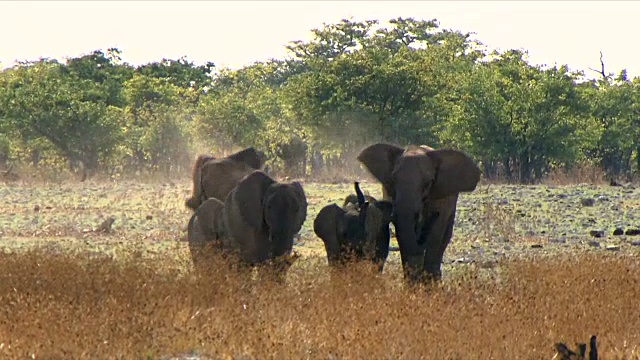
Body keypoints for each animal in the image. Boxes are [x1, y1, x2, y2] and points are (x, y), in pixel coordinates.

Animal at [356, 143, 480, 284]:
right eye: (393, 180)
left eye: (429, 182)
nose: (434, 215)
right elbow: (403, 236)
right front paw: (413, 283)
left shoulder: (440, 199)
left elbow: (435, 234)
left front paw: (428, 284)